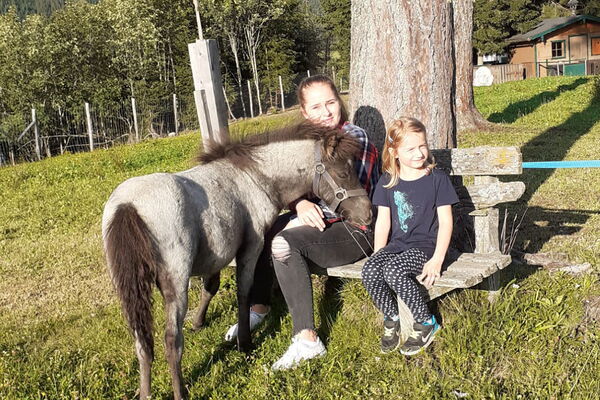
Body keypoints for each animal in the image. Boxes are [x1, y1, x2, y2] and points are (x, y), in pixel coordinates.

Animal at [102, 122, 373, 400]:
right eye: (343, 172)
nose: (368, 214)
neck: (253, 177)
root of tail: (128, 205)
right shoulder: (251, 247)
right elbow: (244, 292)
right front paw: (245, 342)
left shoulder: (215, 256)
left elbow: (211, 288)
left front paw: (199, 324)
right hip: (176, 284)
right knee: (171, 340)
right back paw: (180, 392)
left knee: (142, 340)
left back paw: (145, 392)